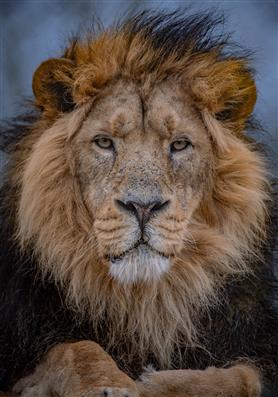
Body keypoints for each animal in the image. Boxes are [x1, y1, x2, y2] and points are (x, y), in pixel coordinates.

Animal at [0, 9, 278, 396]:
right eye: (104, 142)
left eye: (179, 144)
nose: (143, 207)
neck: (144, 304)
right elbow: (75, 349)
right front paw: (109, 384)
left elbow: (242, 375)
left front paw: (153, 383)